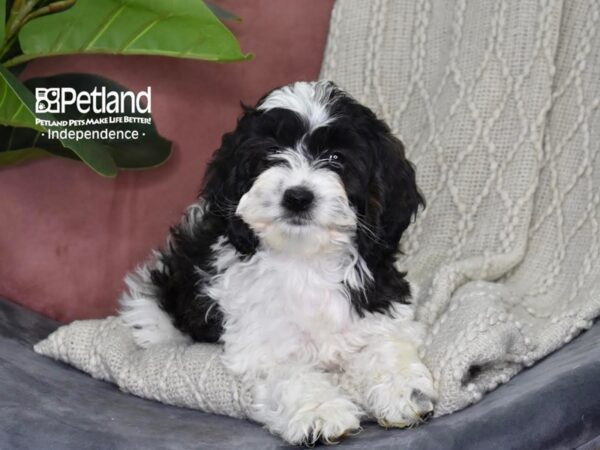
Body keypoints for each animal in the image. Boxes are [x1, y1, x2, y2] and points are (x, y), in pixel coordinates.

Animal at [119, 81, 436, 446]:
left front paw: (405, 392)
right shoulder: (261, 343)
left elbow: (386, 345)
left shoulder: (378, 306)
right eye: (271, 151)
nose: (298, 196)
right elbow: (291, 373)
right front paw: (320, 413)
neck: (305, 260)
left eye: (336, 158)